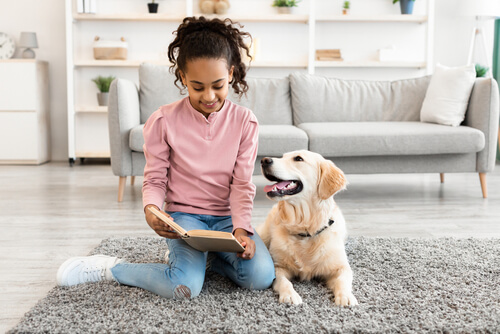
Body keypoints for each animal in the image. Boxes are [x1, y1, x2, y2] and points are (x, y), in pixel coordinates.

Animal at [256, 150, 358, 306]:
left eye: (298, 159)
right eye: (283, 156)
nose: (264, 161)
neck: (305, 229)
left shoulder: (341, 267)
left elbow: (343, 280)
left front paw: (346, 296)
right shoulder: (279, 266)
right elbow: (284, 281)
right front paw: (290, 295)